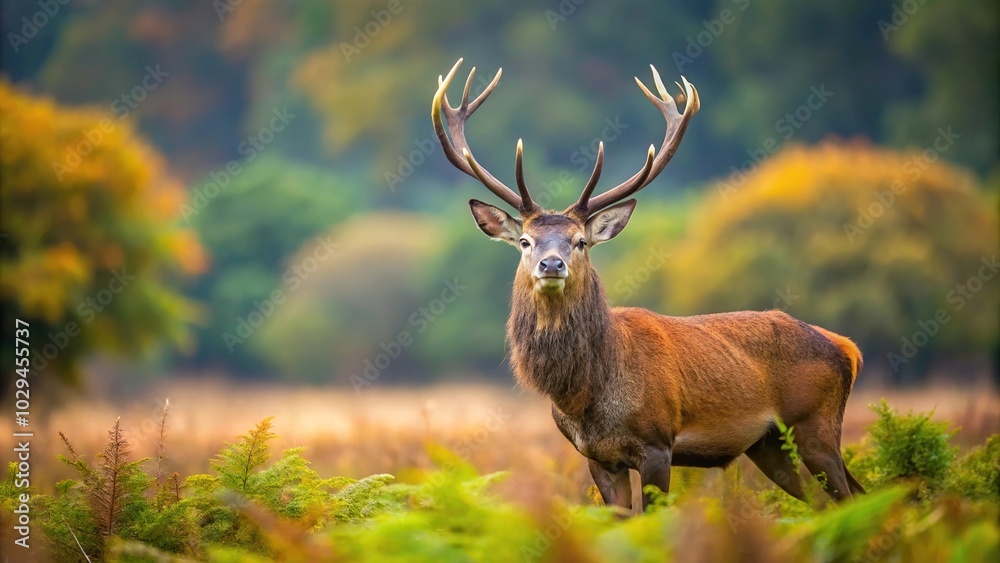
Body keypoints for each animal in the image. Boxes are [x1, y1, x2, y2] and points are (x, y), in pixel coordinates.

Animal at [431, 59, 865, 513]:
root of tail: (847, 348)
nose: (552, 264)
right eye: (525, 241)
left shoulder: (658, 444)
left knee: (852, 496)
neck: (588, 396)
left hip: (815, 425)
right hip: (769, 445)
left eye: (580, 241)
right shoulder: (597, 457)